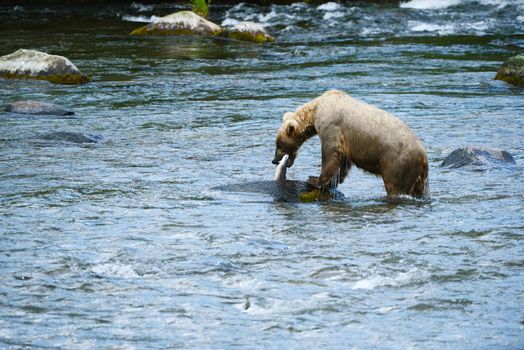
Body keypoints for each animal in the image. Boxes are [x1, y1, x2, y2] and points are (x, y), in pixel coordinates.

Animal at [272, 89, 428, 198]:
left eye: (279, 144)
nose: (274, 160)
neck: (316, 110)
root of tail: (423, 155)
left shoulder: (331, 125)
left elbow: (331, 152)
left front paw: (314, 179)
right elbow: (343, 159)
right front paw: (332, 181)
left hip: (397, 162)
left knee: (395, 186)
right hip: (417, 175)